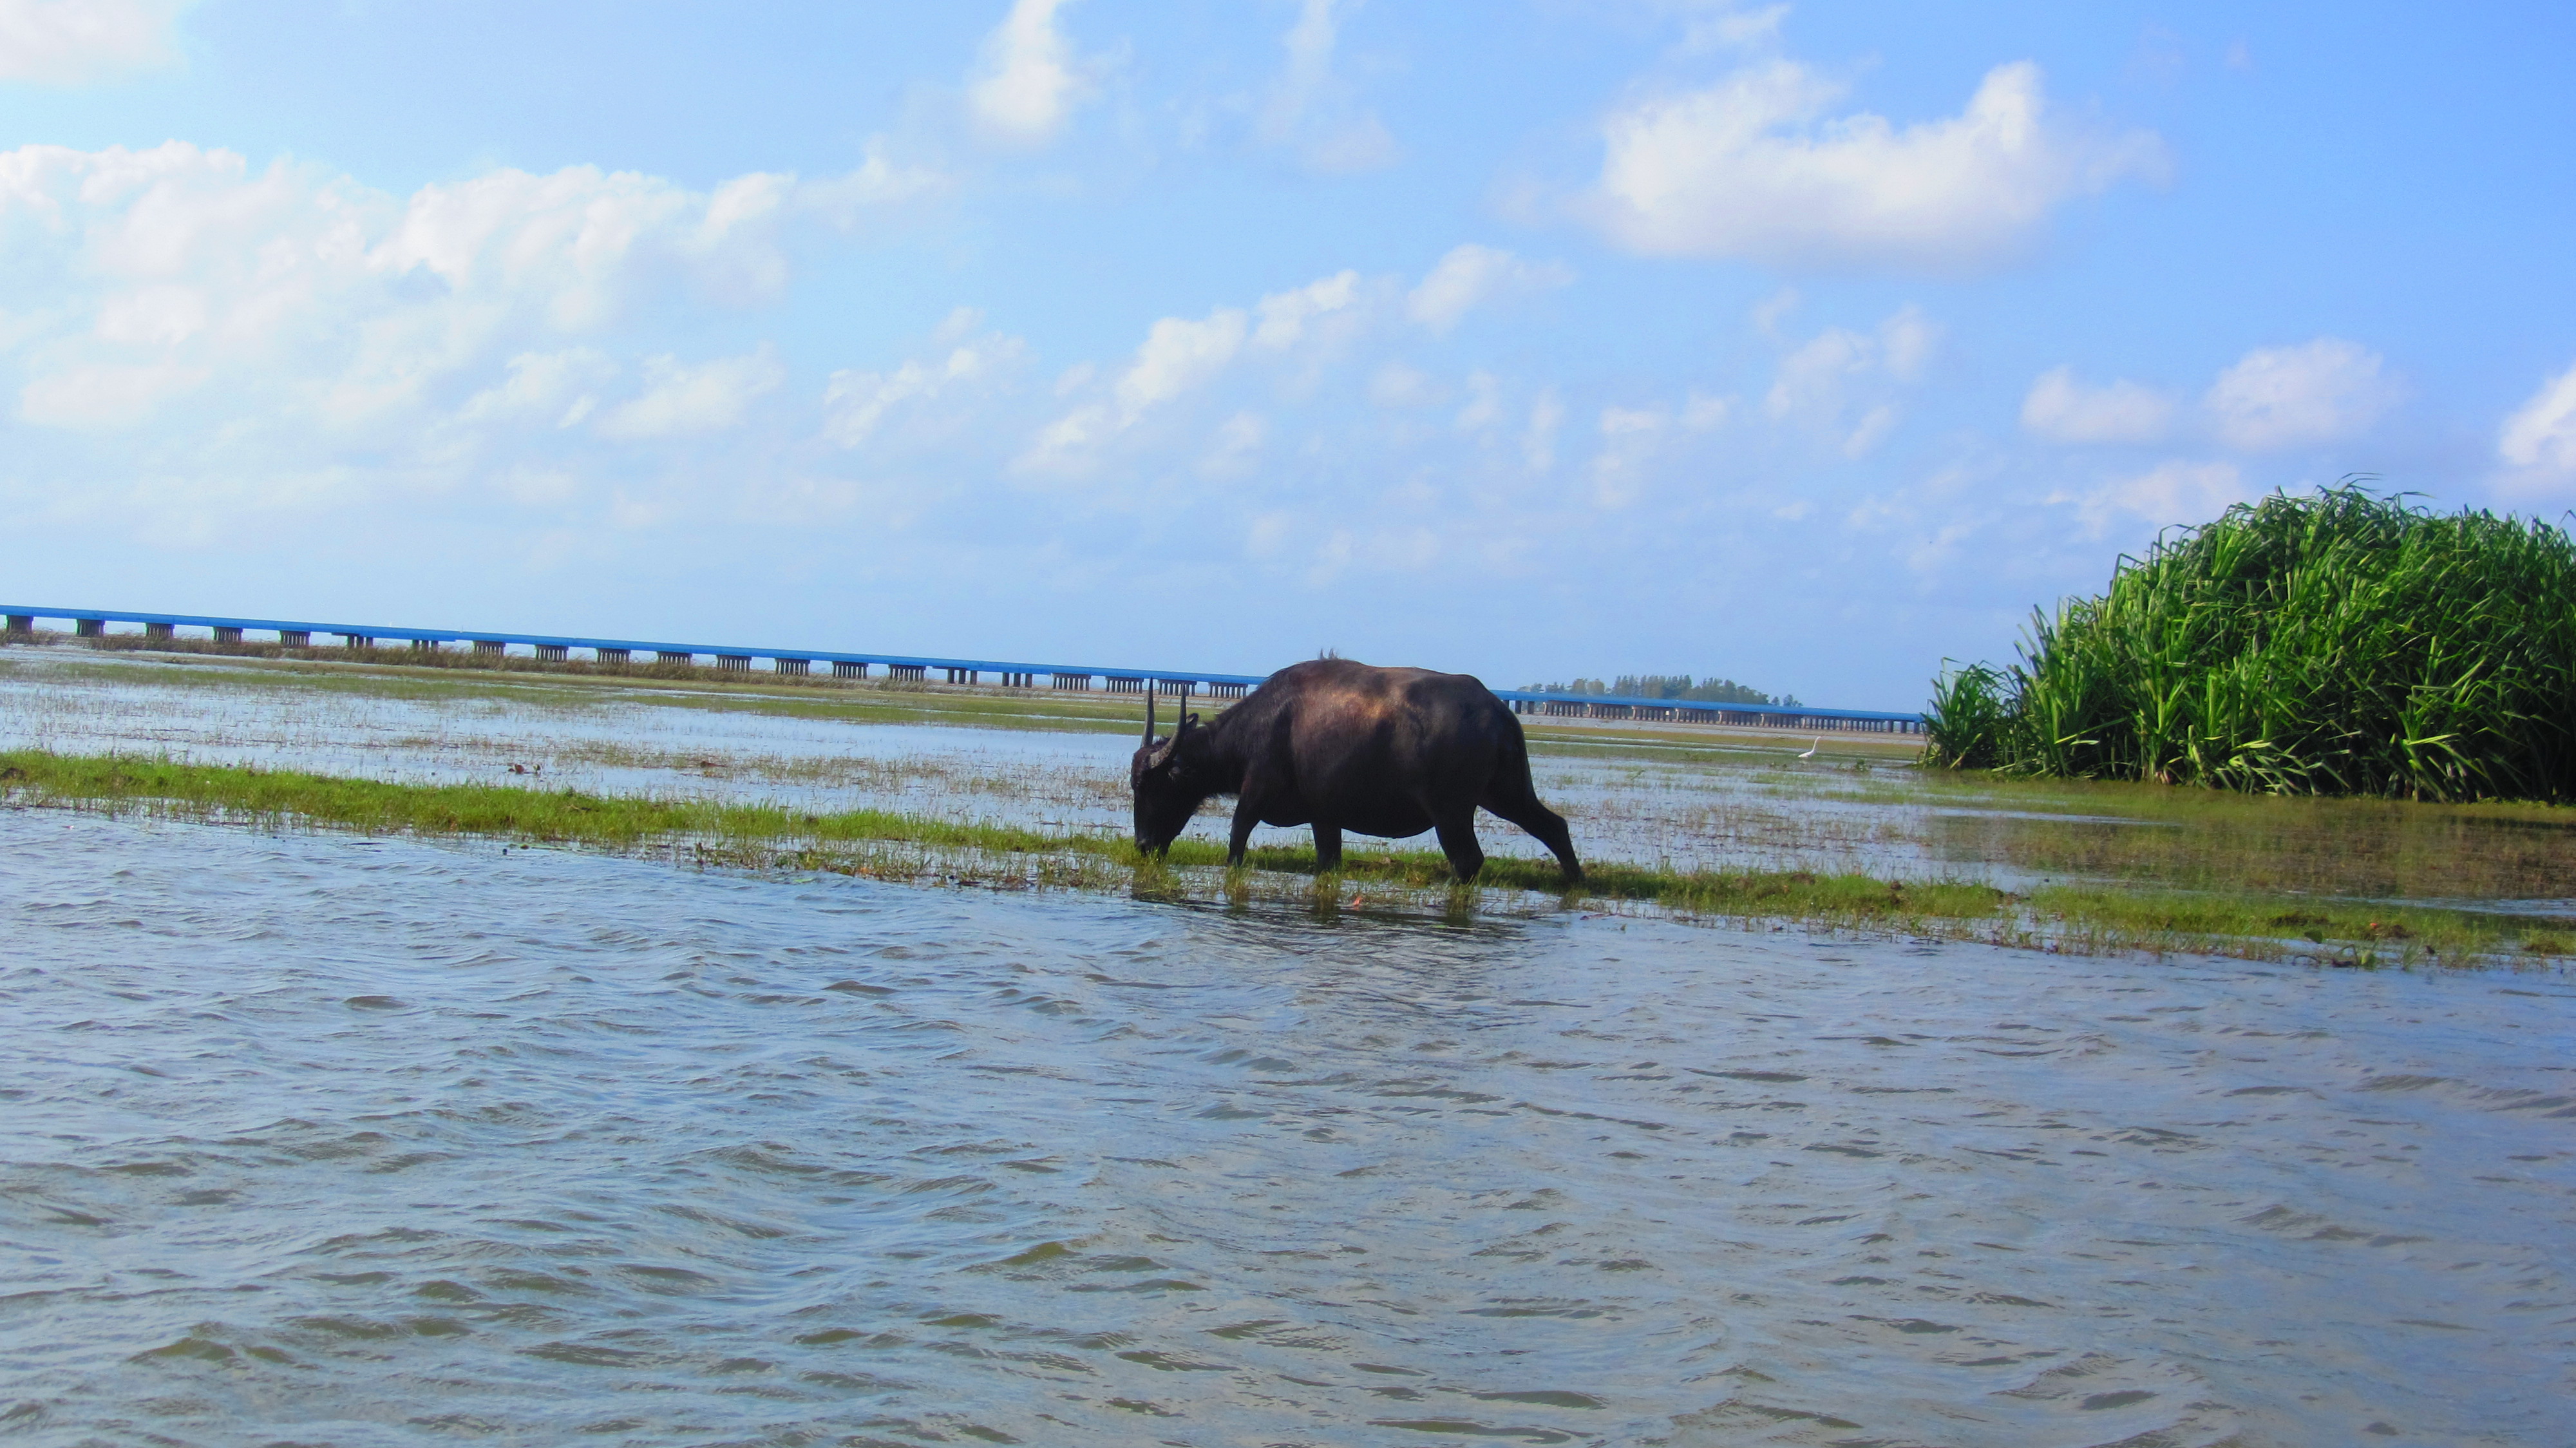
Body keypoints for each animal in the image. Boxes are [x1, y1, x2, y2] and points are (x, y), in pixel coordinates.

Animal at [1130, 657, 1582, 883]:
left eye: (1152, 787)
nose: (1143, 845)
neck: (1263, 725)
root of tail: (1497, 711)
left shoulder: (1255, 793)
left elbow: (1237, 840)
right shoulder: (1325, 816)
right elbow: (1328, 860)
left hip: (1451, 812)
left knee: (1469, 861)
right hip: (1507, 793)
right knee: (1554, 826)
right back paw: (1575, 881)